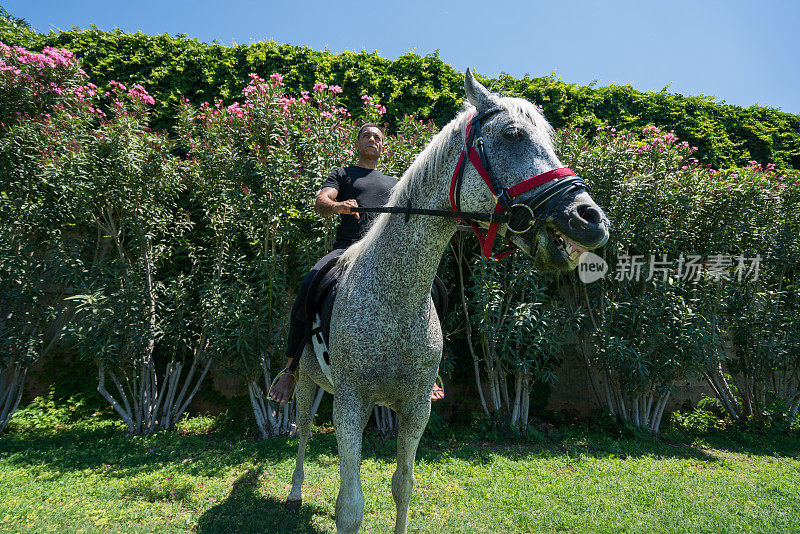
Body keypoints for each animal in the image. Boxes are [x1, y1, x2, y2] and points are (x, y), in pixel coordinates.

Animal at [284, 69, 608, 532]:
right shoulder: (350, 404)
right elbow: (350, 507)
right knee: (305, 429)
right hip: (308, 382)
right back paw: (294, 493)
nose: (591, 219)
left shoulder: (416, 408)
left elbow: (402, 487)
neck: (395, 300)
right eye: (512, 134)